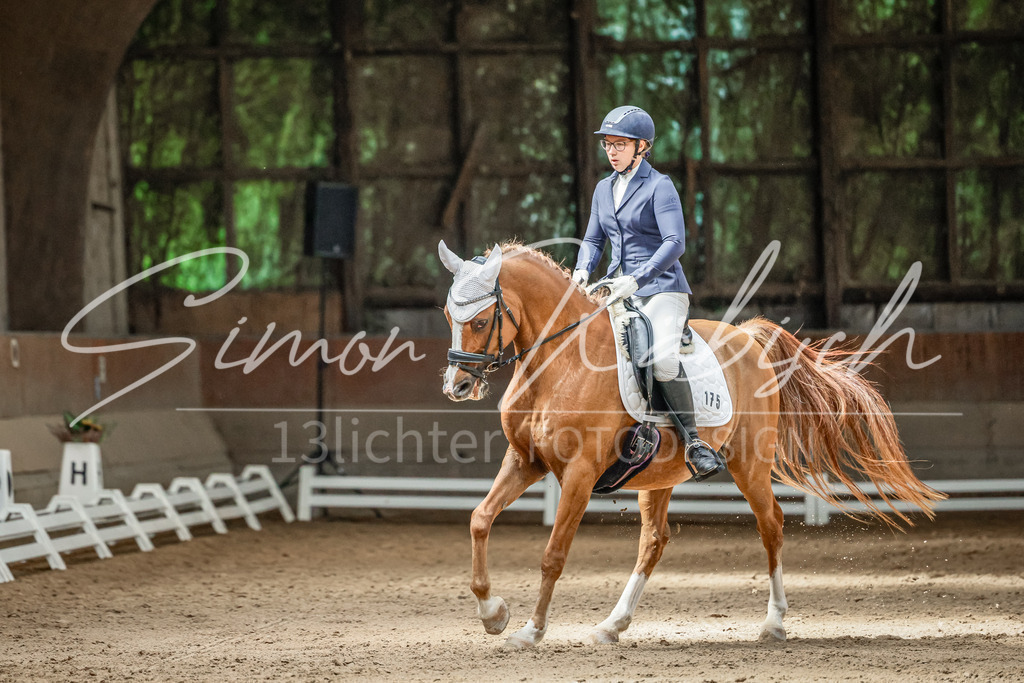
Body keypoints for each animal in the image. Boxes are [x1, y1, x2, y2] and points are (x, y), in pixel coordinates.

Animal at [438, 240, 945, 649]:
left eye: (479, 321)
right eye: (448, 316)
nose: (457, 386)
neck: (558, 362)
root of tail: (748, 336)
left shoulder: (579, 473)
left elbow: (552, 556)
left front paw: (530, 630)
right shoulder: (525, 460)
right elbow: (479, 519)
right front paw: (494, 614)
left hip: (749, 465)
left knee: (772, 525)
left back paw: (774, 624)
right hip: (658, 474)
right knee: (654, 541)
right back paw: (612, 626)